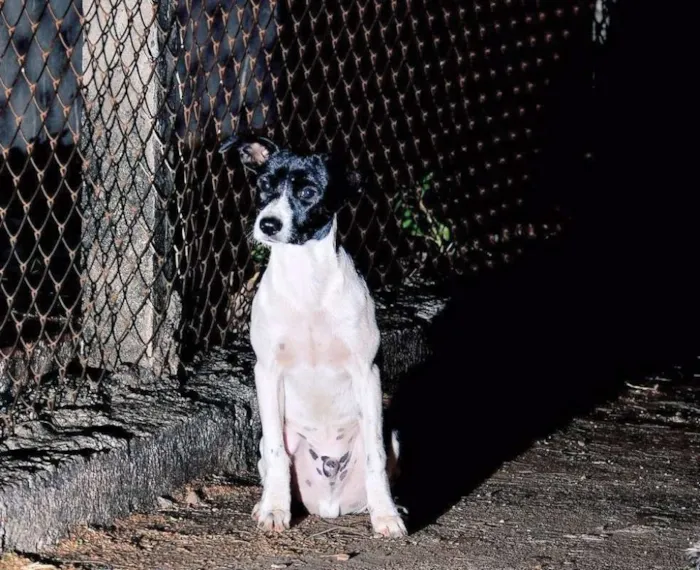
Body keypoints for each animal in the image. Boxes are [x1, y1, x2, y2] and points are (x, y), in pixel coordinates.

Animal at [219, 134, 404, 536]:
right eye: (264, 185)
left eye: (307, 192)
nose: (268, 224)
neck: (308, 284)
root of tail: (329, 506)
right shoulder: (267, 372)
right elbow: (277, 454)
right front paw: (274, 510)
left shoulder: (367, 372)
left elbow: (375, 456)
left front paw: (386, 515)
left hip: (393, 432)